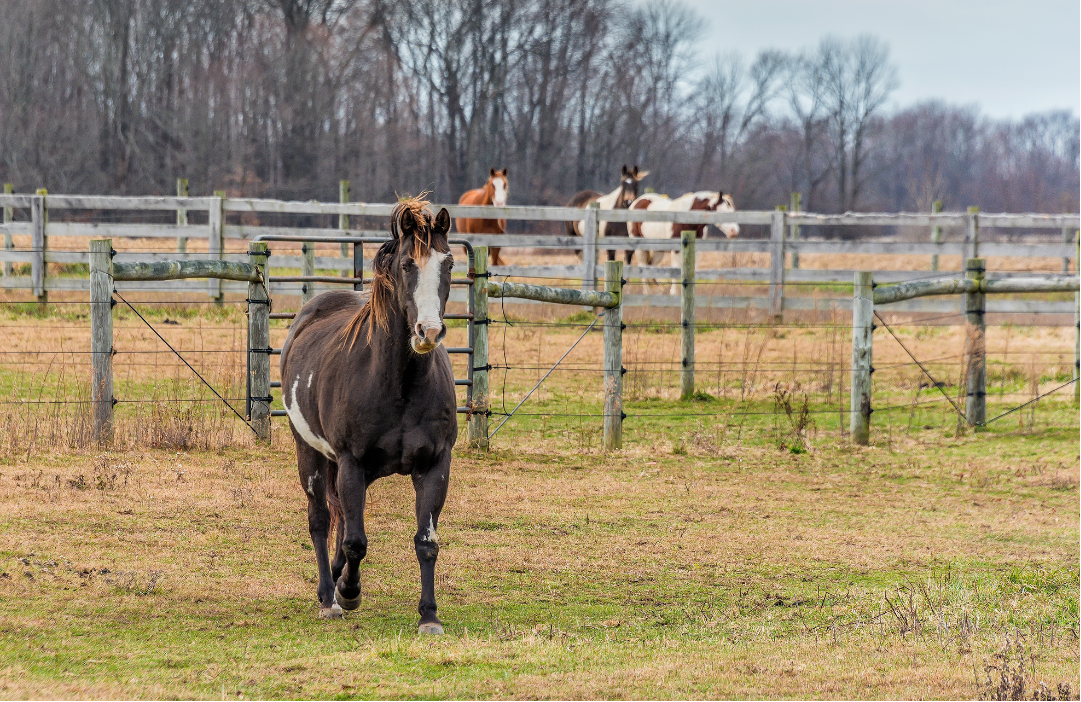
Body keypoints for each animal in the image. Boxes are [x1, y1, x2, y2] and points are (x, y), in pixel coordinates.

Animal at [281, 197, 457, 633]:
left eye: (448, 263)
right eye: (407, 264)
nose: (428, 332)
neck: (400, 385)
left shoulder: (435, 465)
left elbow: (426, 543)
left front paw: (429, 615)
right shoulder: (351, 461)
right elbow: (356, 541)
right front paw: (348, 592)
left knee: (343, 518)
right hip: (311, 454)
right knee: (322, 520)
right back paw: (329, 595)